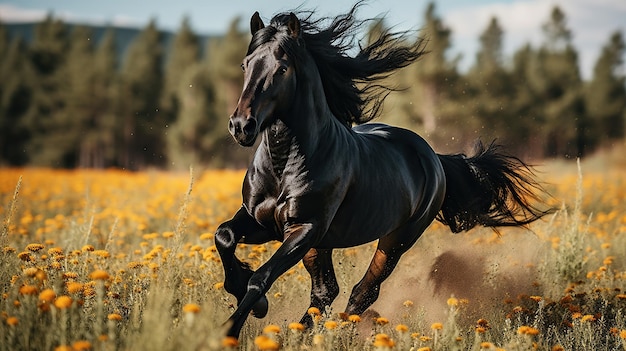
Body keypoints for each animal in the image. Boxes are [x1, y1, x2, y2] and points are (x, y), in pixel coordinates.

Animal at [214, 4, 544, 340]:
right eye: (245, 64)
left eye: (282, 69)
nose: (241, 126)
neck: (285, 165)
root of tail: (434, 158)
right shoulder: (262, 220)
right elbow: (224, 236)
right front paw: (247, 295)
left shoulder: (304, 228)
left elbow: (262, 278)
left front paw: (234, 327)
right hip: (324, 243)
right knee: (326, 291)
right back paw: (305, 332)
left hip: (395, 240)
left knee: (363, 291)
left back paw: (340, 331)